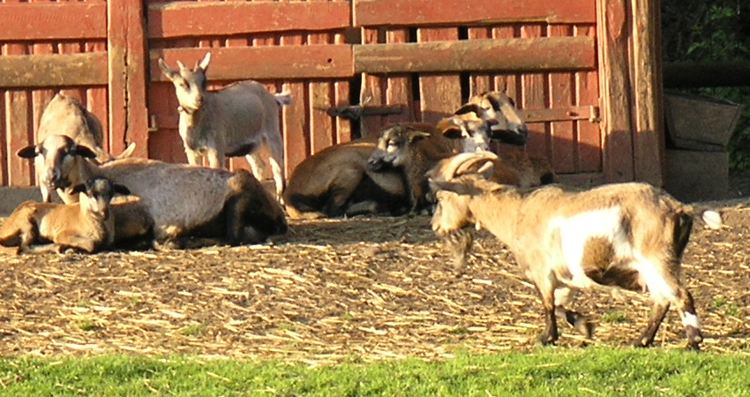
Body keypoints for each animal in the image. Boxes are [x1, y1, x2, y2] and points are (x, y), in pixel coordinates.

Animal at [0, 177, 130, 254]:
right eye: (90, 193)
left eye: (111, 193)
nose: (105, 213)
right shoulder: (62, 234)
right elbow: (91, 244)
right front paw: (72, 248)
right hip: (27, 224)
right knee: (24, 247)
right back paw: (58, 247)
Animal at [18, 135, 288, 246]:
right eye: (40, 151)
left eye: (70, 151)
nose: (50, 178)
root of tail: (280, 217)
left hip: (239, 194)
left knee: (233, 237)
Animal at [157, 51, 290, 198]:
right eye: (183, 83)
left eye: (204, 82)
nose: (199, 99)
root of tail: (273, 97)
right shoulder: (191, 151)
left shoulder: (216, 148)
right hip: (250, 145)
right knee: (259, 166)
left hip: (272, 131)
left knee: (278, 171)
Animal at [432, 153, 708, 348]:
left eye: (442, 198)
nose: (435, 226)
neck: (517, 212)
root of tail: (678, 208)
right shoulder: (565, 277)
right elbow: (560, 304)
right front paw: (585, 327)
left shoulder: (542, 271)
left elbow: (547, 303)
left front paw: (547, 338)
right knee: (662, 299)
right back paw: (641, 341)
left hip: (657, 258)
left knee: (680, 295)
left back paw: (692, 342)